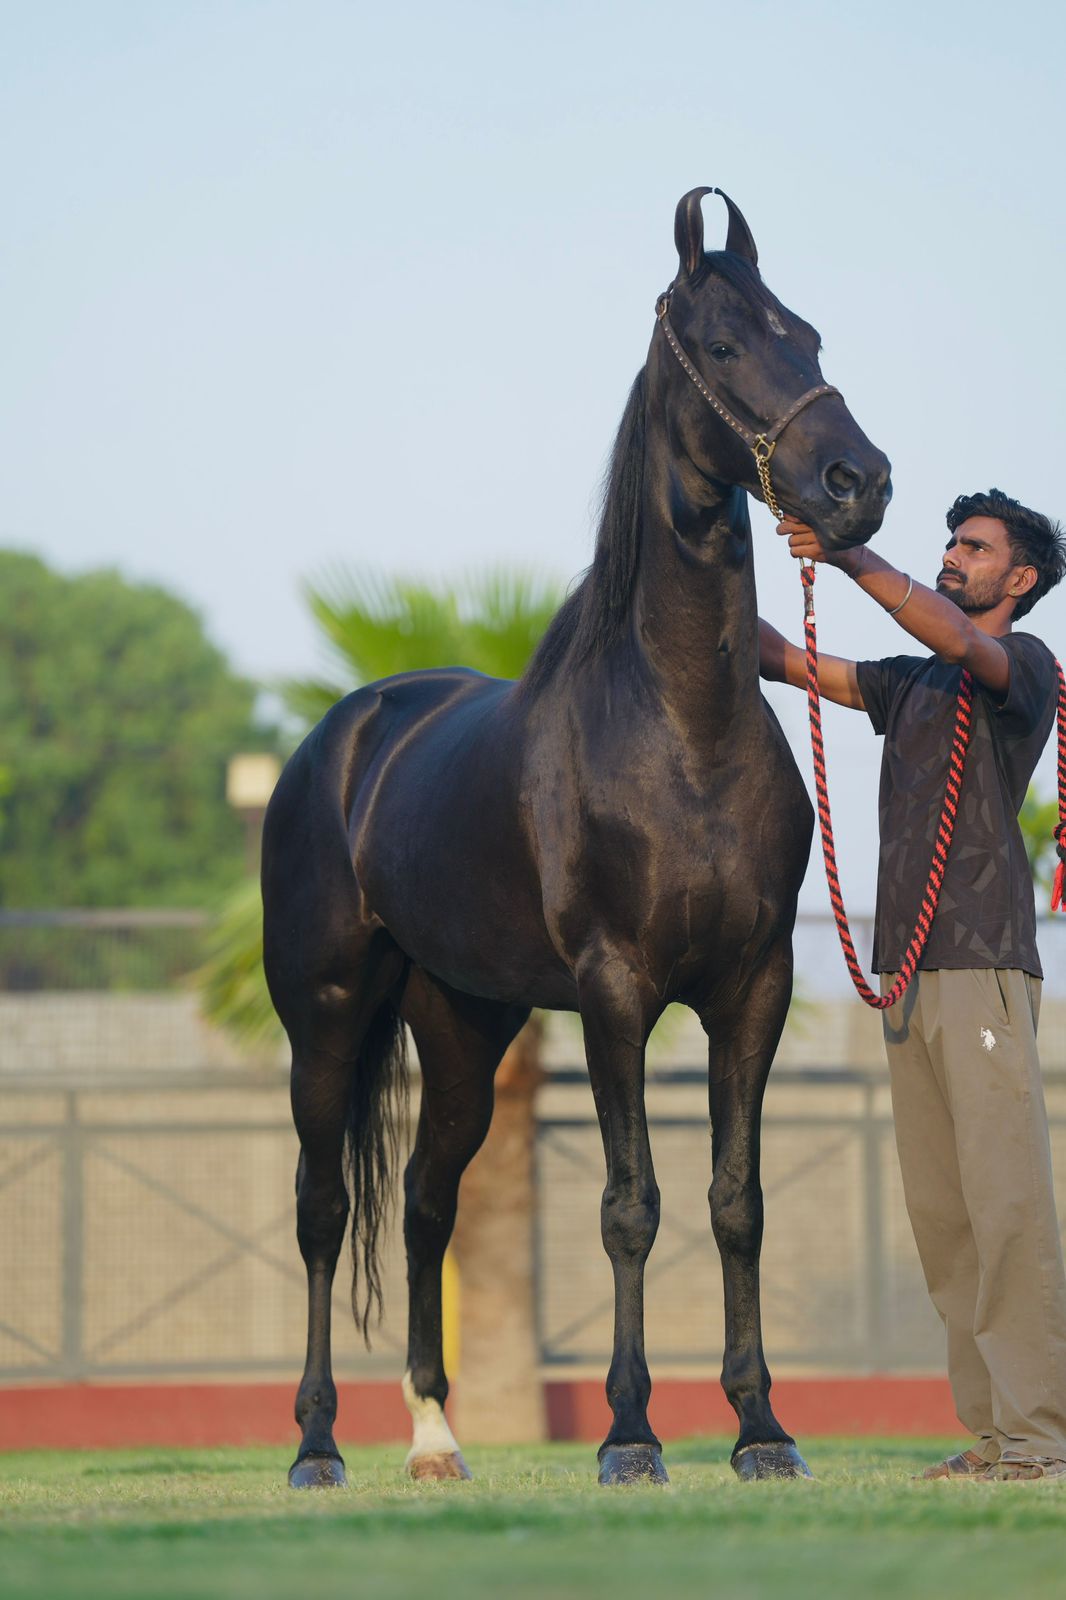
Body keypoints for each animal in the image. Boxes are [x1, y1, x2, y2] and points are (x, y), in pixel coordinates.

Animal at [262, 187, 892, 1488]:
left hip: (464, 1024)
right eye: (722, 344)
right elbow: (628, 1203)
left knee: (426, 1199)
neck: (681, 730)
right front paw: (631, 1435)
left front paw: (761, 1430)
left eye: (807, 334)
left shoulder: (752, 986)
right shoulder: (615, 991)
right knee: (322, 1208)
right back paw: (317, 1446)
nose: (857, 481)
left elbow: (737, 1200)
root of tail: (341, 740)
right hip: (329, 1015)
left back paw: (436, 1441)